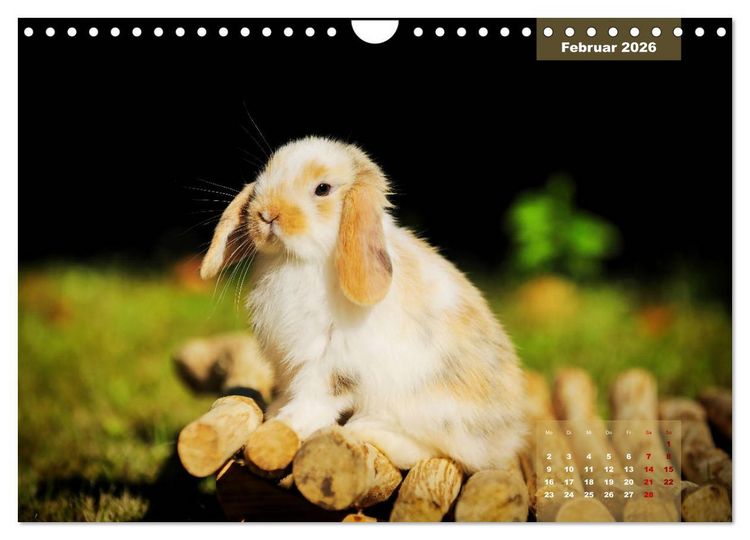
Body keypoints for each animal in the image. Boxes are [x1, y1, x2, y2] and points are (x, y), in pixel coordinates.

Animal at [200, 136, 527, 473]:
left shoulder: (333, 361)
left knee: (444, 452)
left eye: (323, 189)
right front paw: (274, 412)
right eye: (264, 176)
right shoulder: (289, 362)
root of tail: (509, 436)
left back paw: (366, 430)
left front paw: (286, 424)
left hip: (433, 410)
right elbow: (292, 388)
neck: (296, 260)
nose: (266, 214)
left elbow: (316, 397)